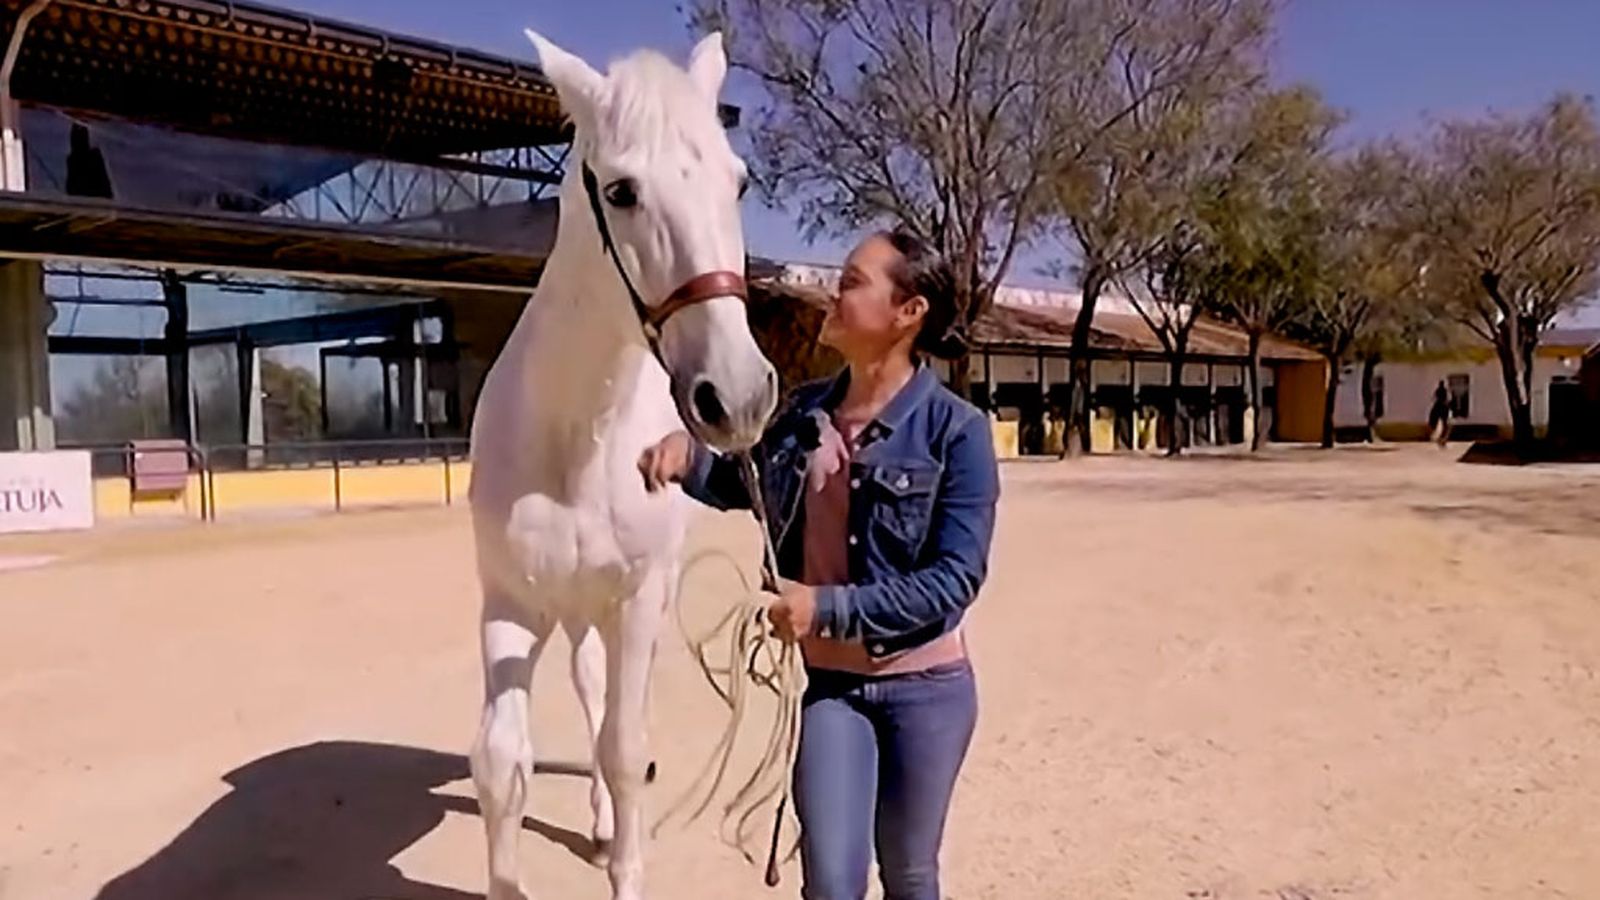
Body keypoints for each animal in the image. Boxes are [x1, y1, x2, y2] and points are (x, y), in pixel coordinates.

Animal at [466, 30, 778, 900]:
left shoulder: (636, 601)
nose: (738, 396)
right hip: (574, 611)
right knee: (588, 685)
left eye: (739, 181)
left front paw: (624, 860)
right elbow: (501, 762)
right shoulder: (510, 603)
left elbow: (626, 747)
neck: (577, 441)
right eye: (622, 190)